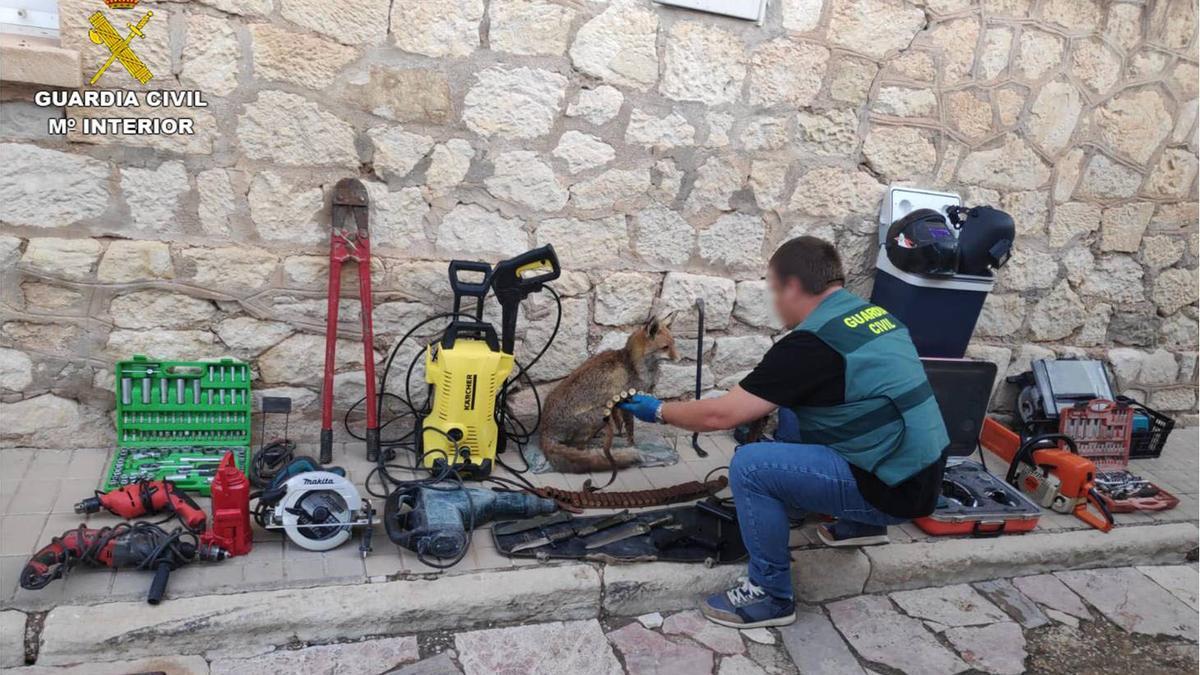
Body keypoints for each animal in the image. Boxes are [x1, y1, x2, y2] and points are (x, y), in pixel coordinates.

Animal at [542, 317, 681, 470]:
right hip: (600, 415)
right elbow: (630, 430)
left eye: (674, 344)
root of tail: (544, 430)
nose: (679, 359)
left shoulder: (618, 404)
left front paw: (620, 436)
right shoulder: (629, 402)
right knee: (577, 445)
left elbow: (620, 423)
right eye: (665, 347)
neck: (633, 365)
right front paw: (632, 446)